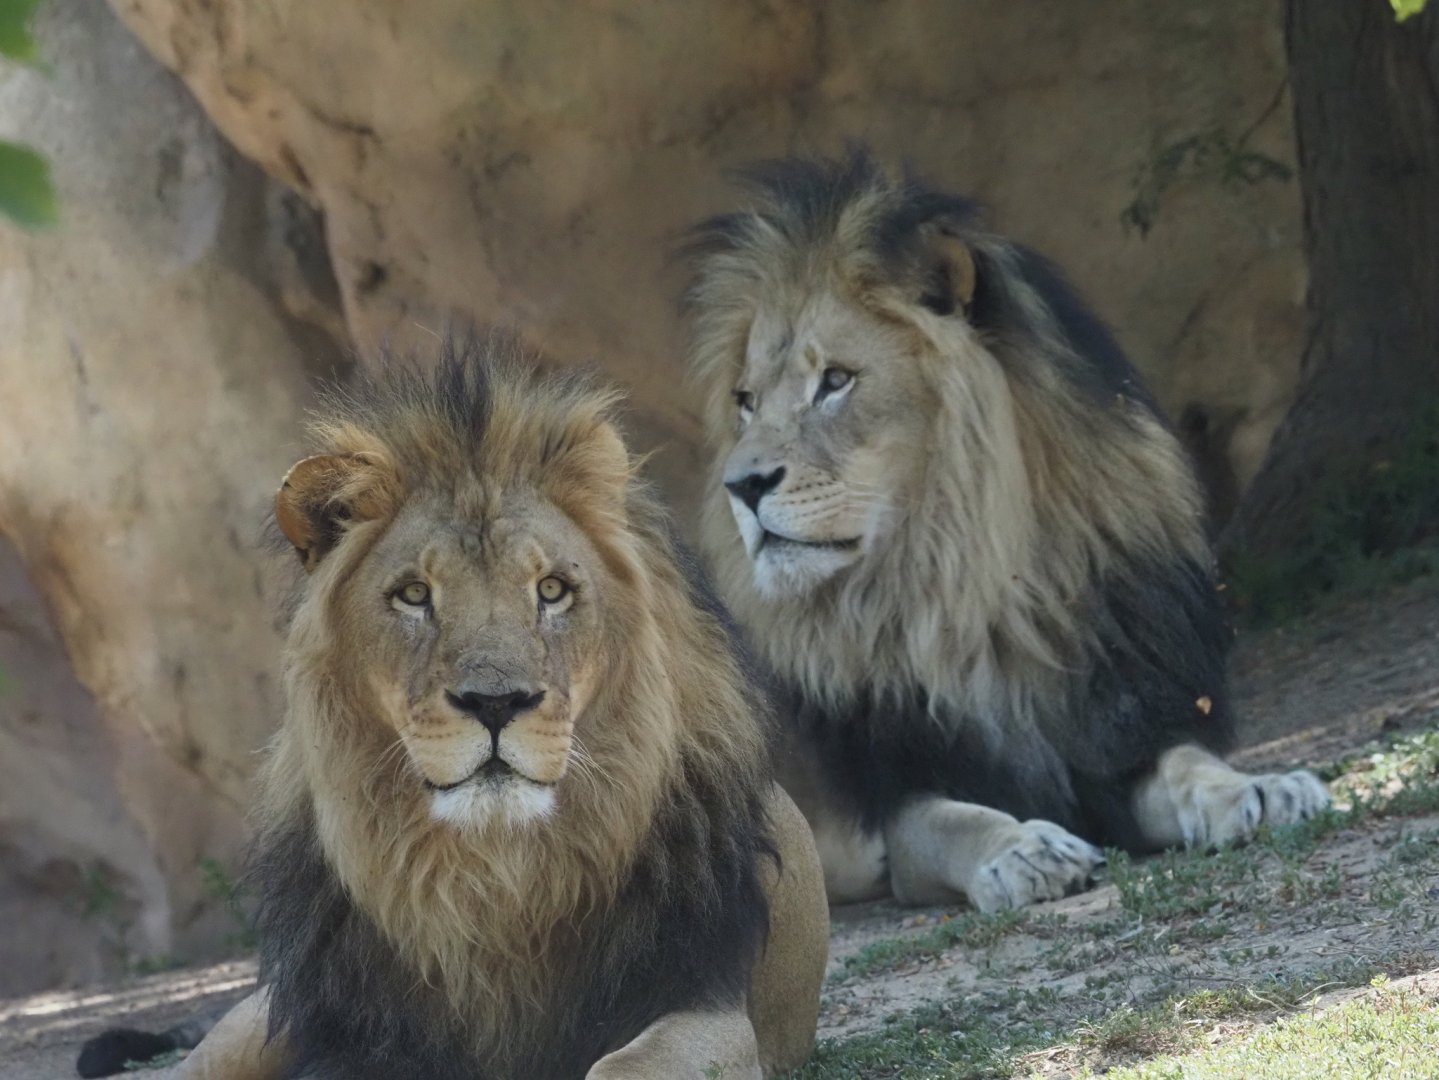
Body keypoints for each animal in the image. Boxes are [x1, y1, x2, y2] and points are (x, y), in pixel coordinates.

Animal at [139, 336, 828, 1080]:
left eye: (551, 590)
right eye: (414, 595)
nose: (496, 703)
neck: (495, 876)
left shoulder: (707, 999)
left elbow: (625, 1065)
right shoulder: (353, 1037)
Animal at [681, 151, 1330, 914]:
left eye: (836, 380)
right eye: (747, 402)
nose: (741, 486)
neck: (965, 583)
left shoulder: (1117, 734)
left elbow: (1188, 762)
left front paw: (1264, 788)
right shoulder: (892, 807)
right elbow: (957, 821)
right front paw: (1024, 851)